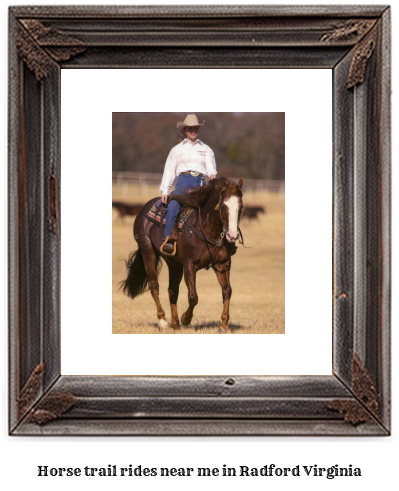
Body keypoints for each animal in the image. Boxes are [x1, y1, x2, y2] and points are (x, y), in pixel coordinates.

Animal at [121, 177, 244, 334]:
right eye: (223, 206)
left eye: (241, 207)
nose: (232, 235)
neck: (207, 229)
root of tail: (144, 210)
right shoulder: (189, 265)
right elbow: (193, 297)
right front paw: (186, 319)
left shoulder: (222, 264)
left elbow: (227, 291)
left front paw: (224, 325)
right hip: (148, 252)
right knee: (154, 286)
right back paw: (163, 321)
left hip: (174, 264)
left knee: (172, 291)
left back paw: (175, 324)